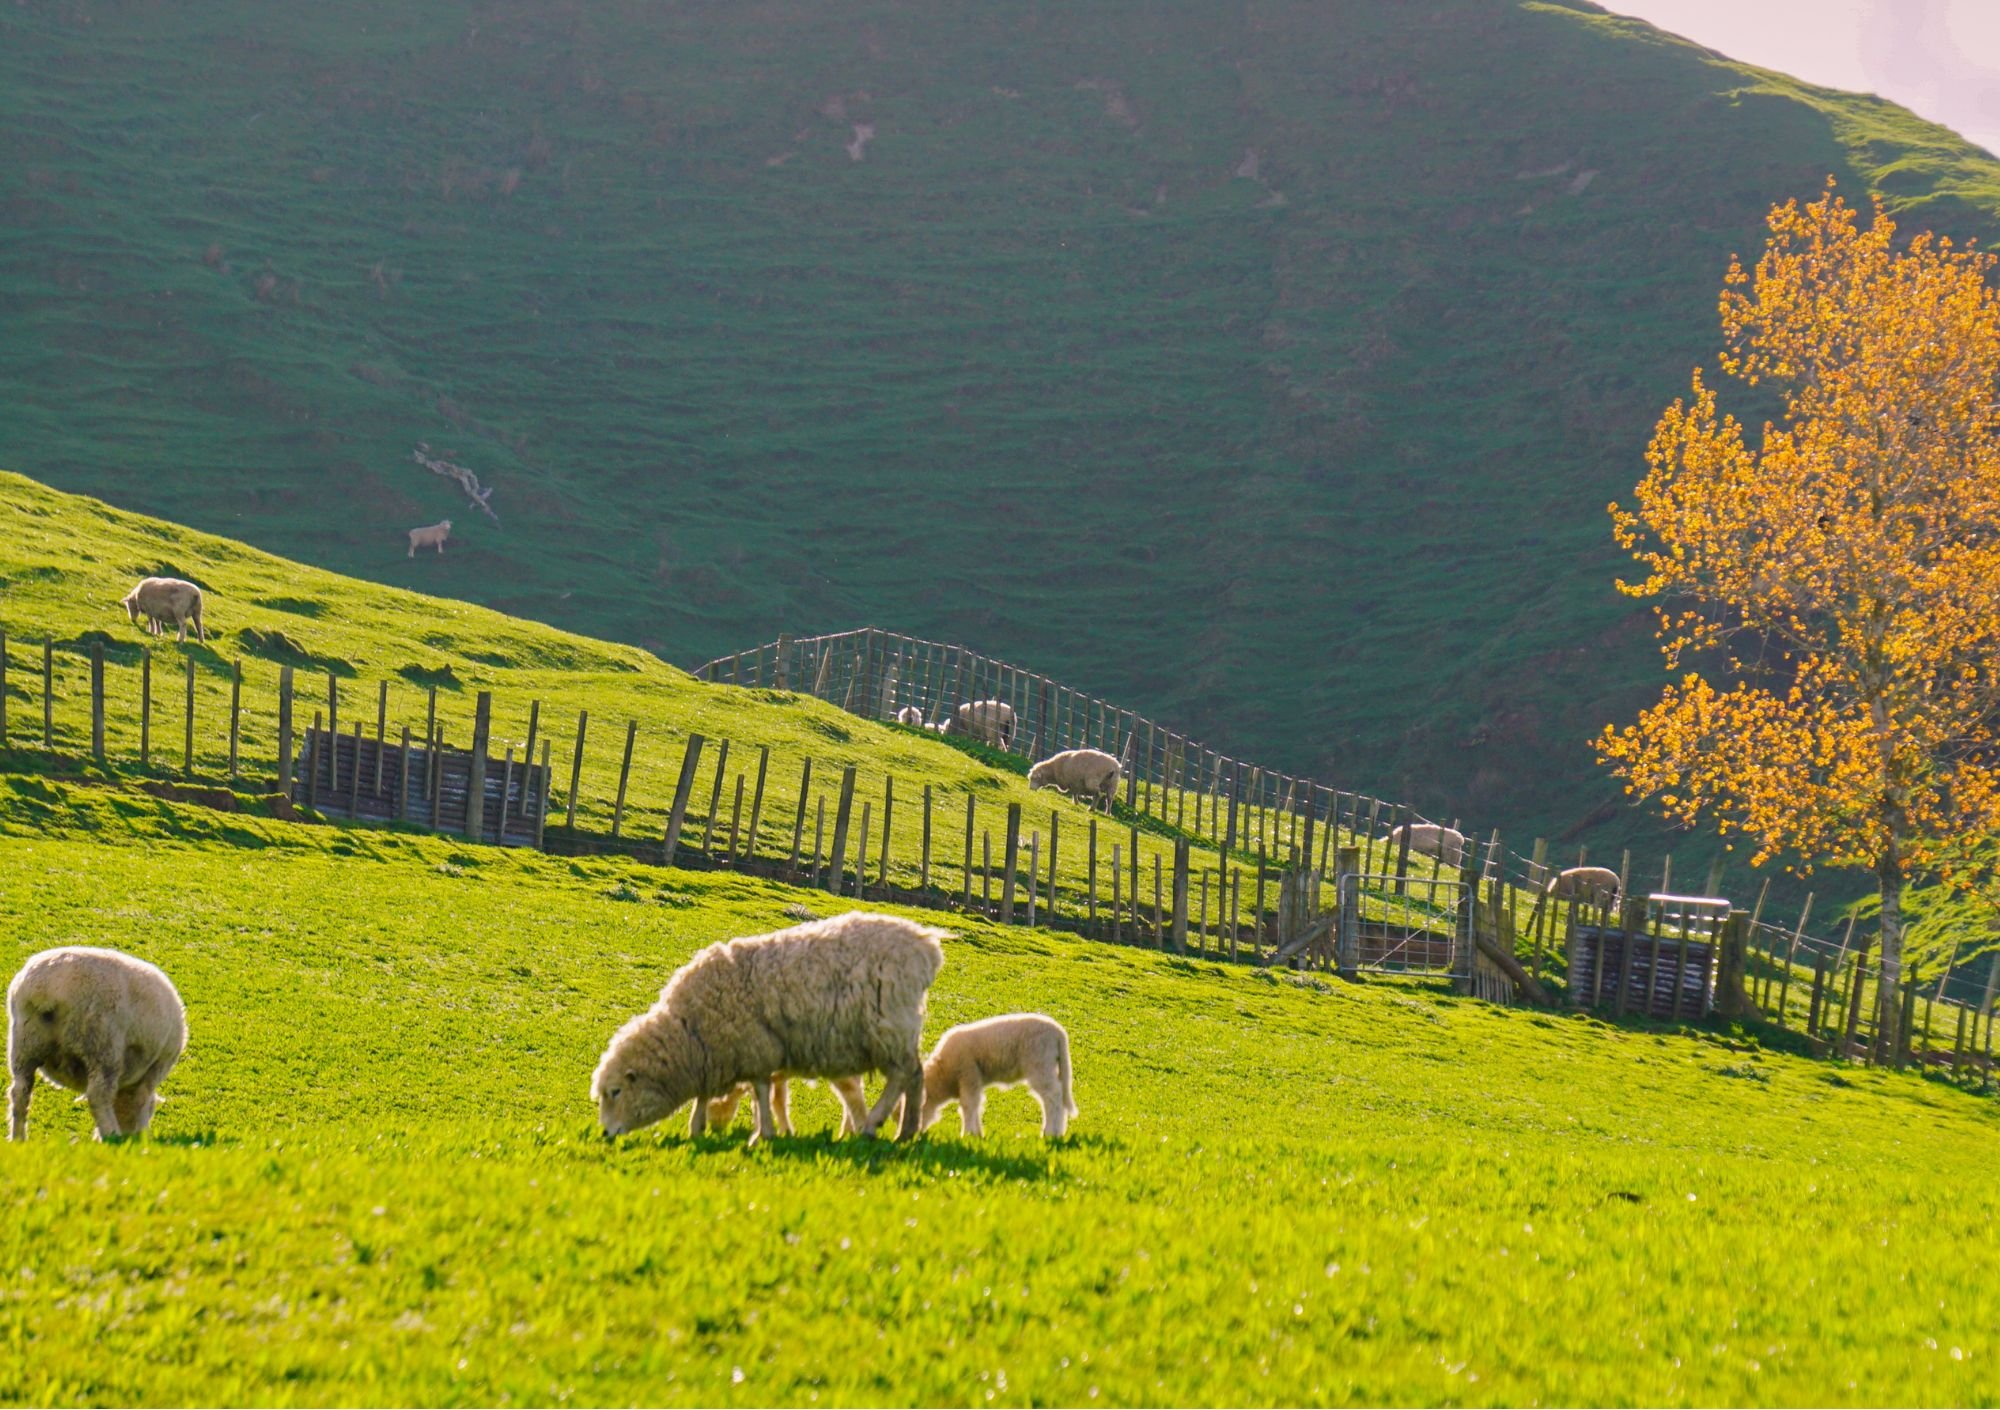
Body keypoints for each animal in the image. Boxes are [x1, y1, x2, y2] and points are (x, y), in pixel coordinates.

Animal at [7, 940, 188, 1136]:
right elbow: (141, 1100)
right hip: (102, 1044)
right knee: (98, 1095)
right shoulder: (157, 1067)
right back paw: (112, 1135)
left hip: (25, 1043)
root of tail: (47, 991)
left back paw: (18, 1137)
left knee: (20, 1091)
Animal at [592, 912, 944, 1144]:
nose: (606, 1133)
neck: (689, 1030)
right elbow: (712, 1095)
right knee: (914, 1076)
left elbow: (761, 1091)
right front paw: (698, 1127)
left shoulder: (755, 1048)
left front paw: (764, 1134)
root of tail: (926, 945)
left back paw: (875, 1125)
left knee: (903, 1074)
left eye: (615, 1092)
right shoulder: (719, 1055)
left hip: (888, 1025)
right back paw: (906, 1132)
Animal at [920, 1008, 1080, 1136]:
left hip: (1040, 1063)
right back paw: (1058, 1131)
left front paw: (968, 1133)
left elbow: (968, 1105)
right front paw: (977, 1134)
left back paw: (1050, 1132)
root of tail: (1058, 1032)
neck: (943, 1074)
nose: (916, 1136)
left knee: (1053, 1095)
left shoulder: (969, 1075)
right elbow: (976, 1105)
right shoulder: (974, 1080)